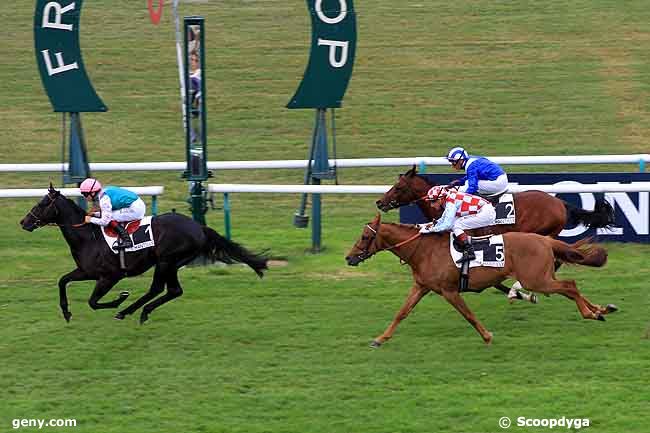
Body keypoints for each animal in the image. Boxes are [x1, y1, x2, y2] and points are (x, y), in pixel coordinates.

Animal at [20, 186, 266, 324]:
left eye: (42, 203)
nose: (24, 222)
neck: (88, 236)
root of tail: (198, 227)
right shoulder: (86, 271)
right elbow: (63, 281)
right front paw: (66, 312)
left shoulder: (110, 276)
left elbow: (93, 301)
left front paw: (119, 299)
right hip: (170, 263)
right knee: (172, 290)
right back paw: (138, 311)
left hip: (166, 261)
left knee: (161, 289)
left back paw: (128, 311)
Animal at [342, 214, 616, 346]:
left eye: (365, 237)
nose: (349, 257)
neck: (423, 249)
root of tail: (545, 239)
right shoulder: (421, 287)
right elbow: (401, 313)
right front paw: (380, 339)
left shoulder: (449, 291)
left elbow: (469, 315)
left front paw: (487, 336)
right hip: (542, 276)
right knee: (570, 286)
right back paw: (601, 310)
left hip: (536, 280)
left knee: (570, 286)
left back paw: (591, 313)